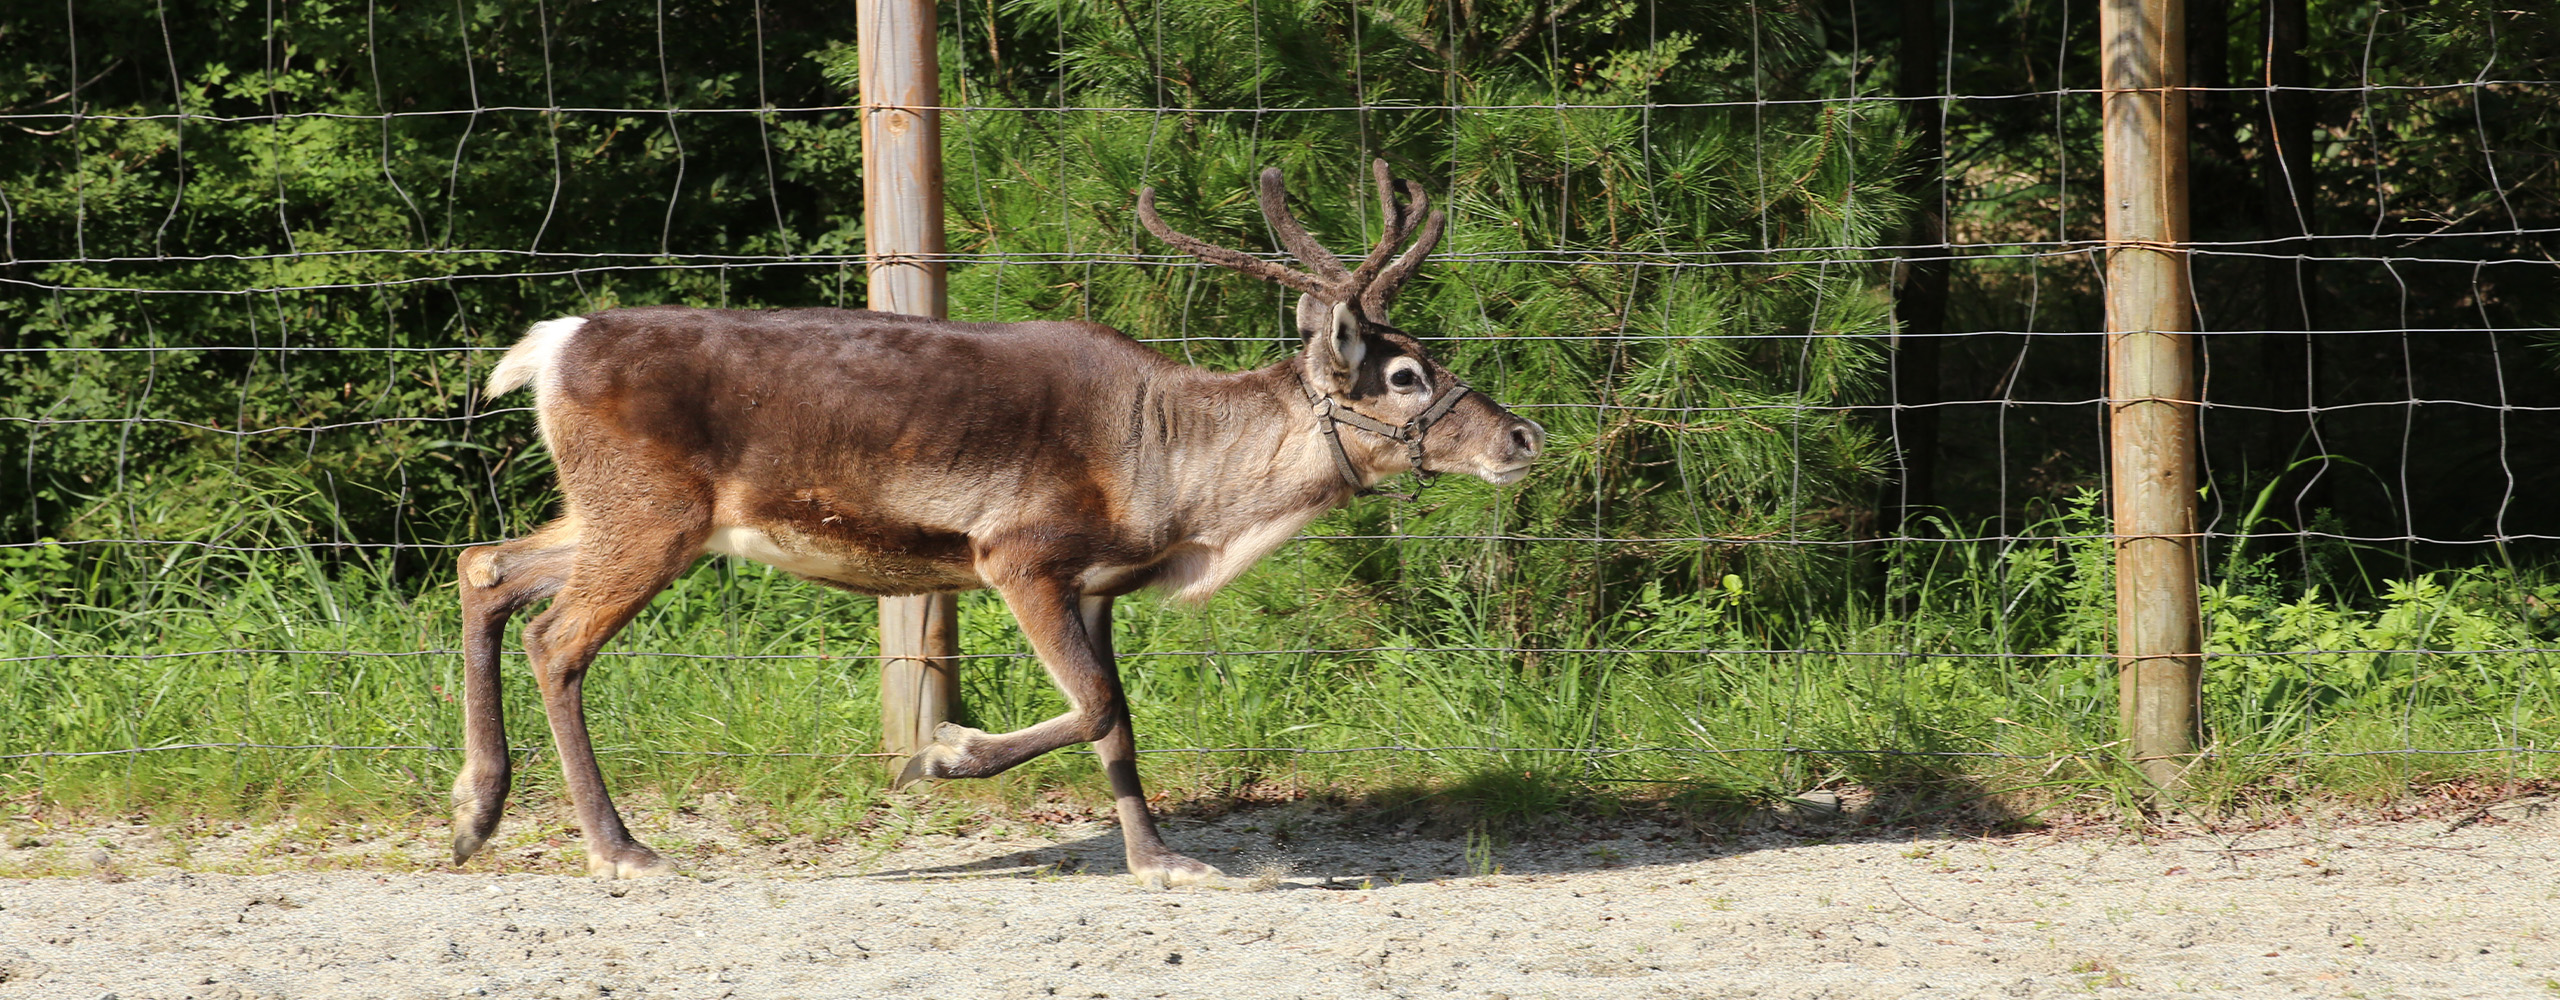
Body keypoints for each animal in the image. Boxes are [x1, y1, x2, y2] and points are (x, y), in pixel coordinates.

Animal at [449, 161, 1545, 887]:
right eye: (1403, 375)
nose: (1524, 434)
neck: (1180, 492)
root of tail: (551, 347)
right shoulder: (1017, 554)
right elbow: (1097, 705)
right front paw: (945, 753)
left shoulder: (1096, 584)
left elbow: (1121, 717)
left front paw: (1160, 858)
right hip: (653, 516)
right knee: (557, 639)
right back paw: (620, 847)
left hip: (612, 513)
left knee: (484, 566)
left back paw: (475, 810)